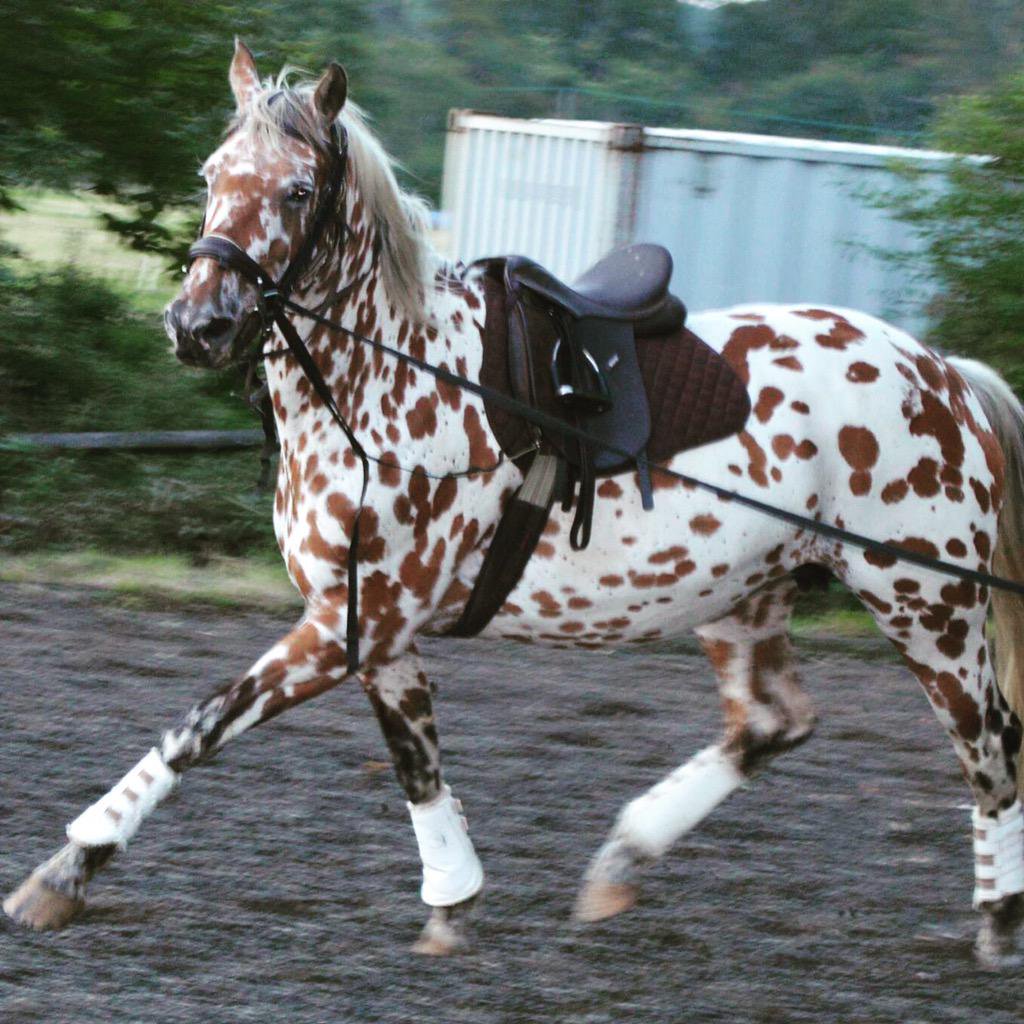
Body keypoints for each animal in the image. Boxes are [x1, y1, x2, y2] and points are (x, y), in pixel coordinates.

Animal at [7, 41, 1024, 960]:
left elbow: (199, 726)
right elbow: (417, 767)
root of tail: (945, 375)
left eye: (297, 192)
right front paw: (452, 903)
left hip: (927, 605)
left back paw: (996, 921)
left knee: (991, 748)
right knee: (772, 724)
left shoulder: (351, 624)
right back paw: (621, 859)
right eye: (212, 177)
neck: (391, 383)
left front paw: (66, 870)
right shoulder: (375, 631)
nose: (198, 325)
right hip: (745, 599)